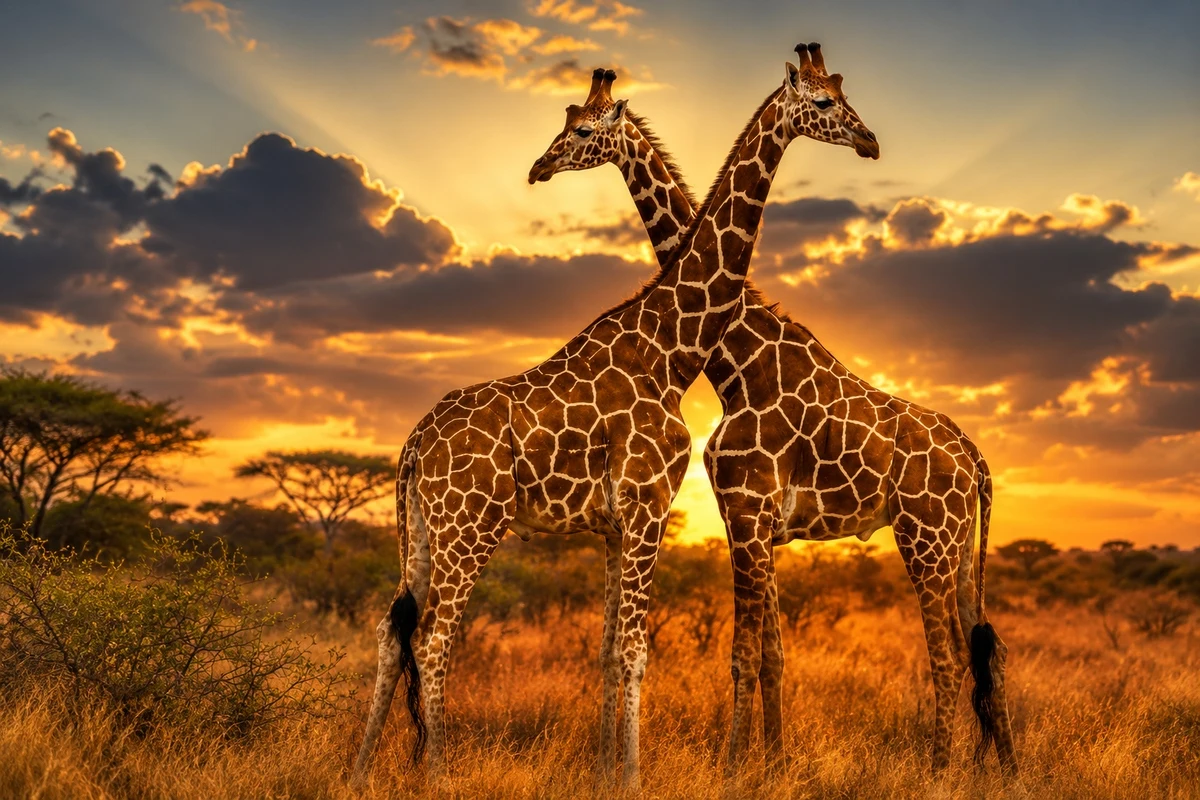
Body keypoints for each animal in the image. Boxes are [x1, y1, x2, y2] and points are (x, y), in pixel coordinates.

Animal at [352, 46, 879, 791]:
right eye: (826, 103)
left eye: (578, 127)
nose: (870, 141)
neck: (672, 348)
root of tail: (412, 445)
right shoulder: (648, 503)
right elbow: (634, 650)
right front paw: (631, 777)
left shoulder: (612, 523)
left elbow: (606, 649)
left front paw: (604, 771)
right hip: (470, 525)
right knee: (433, 641)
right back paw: (439, 775)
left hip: (422, 530)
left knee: (390, 634)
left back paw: (361, 771)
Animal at [528, 48, 1018, 778]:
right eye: (568, 122)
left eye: (584, 131)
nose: (870, 142)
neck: (736, 362)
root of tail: (976, 461)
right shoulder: (756, 523)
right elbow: (773, 656)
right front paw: (775, 762)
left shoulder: (749, 512)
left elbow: (742, 655)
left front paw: (734, 766)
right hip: (957, 549)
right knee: (987, 652)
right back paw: (1000, 766)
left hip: (925, 538)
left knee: (949, 659)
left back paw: (938, 770)